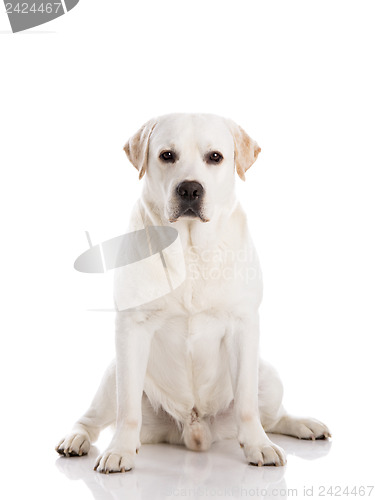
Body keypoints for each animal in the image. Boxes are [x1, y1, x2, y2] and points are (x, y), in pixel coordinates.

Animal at [56, 113, 332, 472]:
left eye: (215, 157)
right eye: (167, 155)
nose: (189, 188)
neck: (189, 248)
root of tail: (194, 428)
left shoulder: (243, 327)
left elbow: (247, 406)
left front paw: (258, 446)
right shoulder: (131, 329)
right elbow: (127, 410)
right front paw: (119, 450)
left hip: (268, 377)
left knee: (272, 417)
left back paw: (303, 425)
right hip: (113, 373)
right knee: (94, 417)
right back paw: (76, 439)